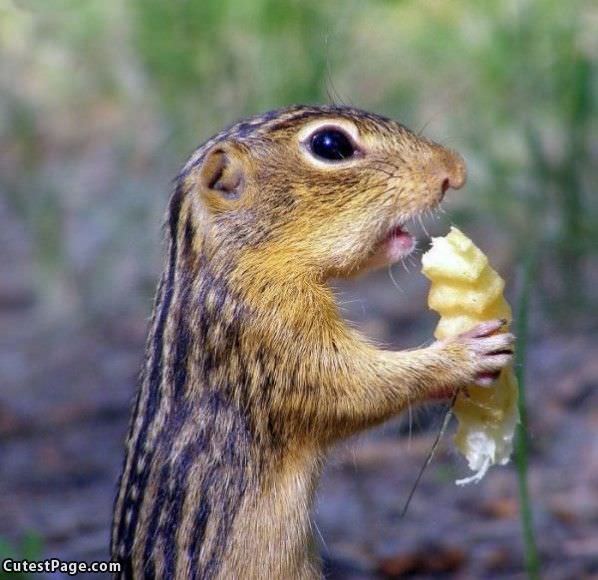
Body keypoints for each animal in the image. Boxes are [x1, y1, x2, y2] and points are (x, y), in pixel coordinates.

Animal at [111, 105, 516, 580]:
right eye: (330, 145)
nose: (455, 169)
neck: (233, 267)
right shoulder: (272, 343)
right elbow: (354, 389)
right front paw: (465, 355)